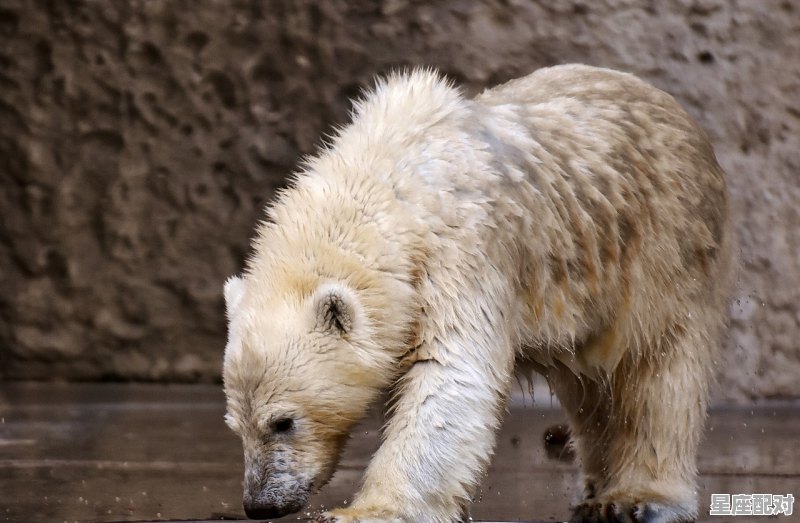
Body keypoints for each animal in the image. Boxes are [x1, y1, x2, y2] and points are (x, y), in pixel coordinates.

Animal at [222, 65, 736, 523]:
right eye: (235, 425)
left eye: (283, 421)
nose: (260, 505)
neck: (391, 179)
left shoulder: (461, 252)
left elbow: (450, 376)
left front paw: (365, 512)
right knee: (589, 388)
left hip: (661, 248)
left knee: (655, 371)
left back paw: (638, 499)